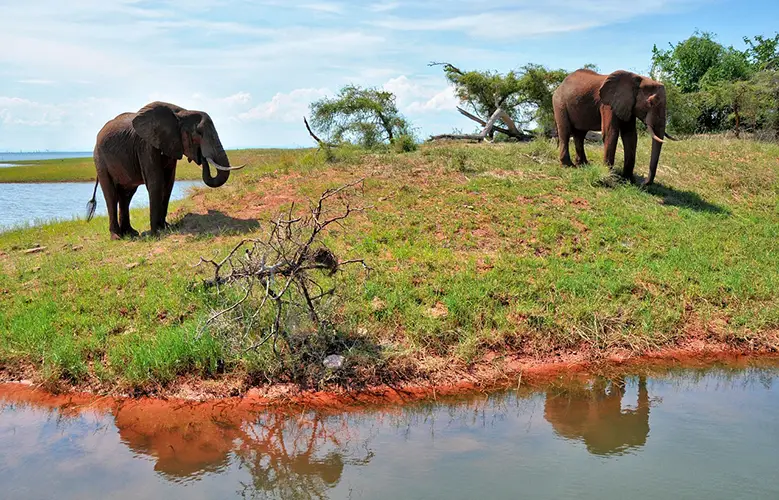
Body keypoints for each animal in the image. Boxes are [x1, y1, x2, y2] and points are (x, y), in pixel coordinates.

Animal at [86, 101, 244, 240]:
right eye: (199, 133)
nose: (202, 157)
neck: (182, 112)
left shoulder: (171, 144)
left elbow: (168, 183)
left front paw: (166, 228)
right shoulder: (146, 145)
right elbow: (156, 182)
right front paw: (156, 233)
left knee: (126, 195)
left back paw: (131, 233)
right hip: (100, 160)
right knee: (111, 195)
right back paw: (117, 237)